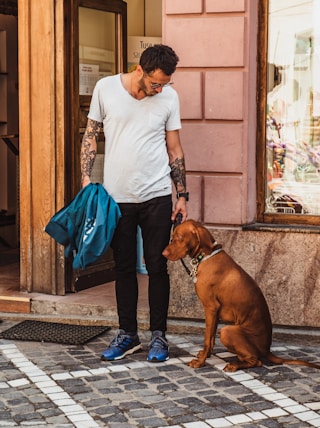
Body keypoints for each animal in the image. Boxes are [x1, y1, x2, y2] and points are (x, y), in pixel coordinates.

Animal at [162, 221, 320, 372]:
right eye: (173, 236)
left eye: (179, 237)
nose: (163, 253)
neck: (206, 255)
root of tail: (267, 350)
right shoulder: (215, 312)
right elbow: (211, 339)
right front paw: (205, 355)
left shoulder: (211, 307)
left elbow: (207, 339)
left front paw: (200, 362)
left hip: (227, 331)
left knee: (256, 360)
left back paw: (234, 365)